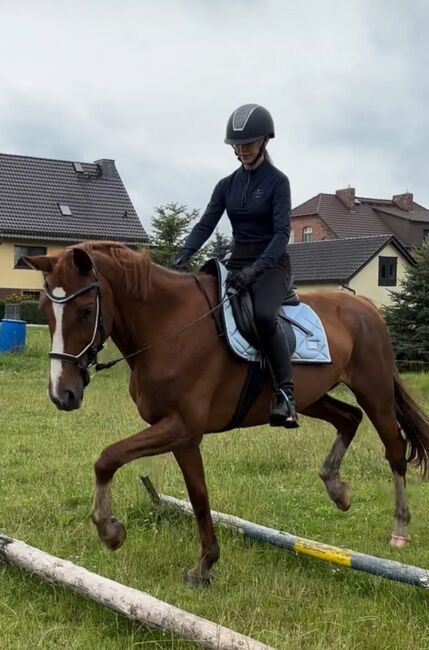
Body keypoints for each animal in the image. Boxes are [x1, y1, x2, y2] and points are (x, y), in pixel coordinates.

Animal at [26, 239, 428, 584]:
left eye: (85, 311)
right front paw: (205, 565)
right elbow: (198, 495)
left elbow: (108, 458)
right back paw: (337, 489)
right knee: (348, 418)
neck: (168, 326)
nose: (62, 394)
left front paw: (110, 531)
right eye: (45, 312)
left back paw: (400, 529)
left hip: (374, 391)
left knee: (394, 449)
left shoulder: (182, 427)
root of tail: (368, 308)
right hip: (311, 397)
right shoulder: (180, 435)